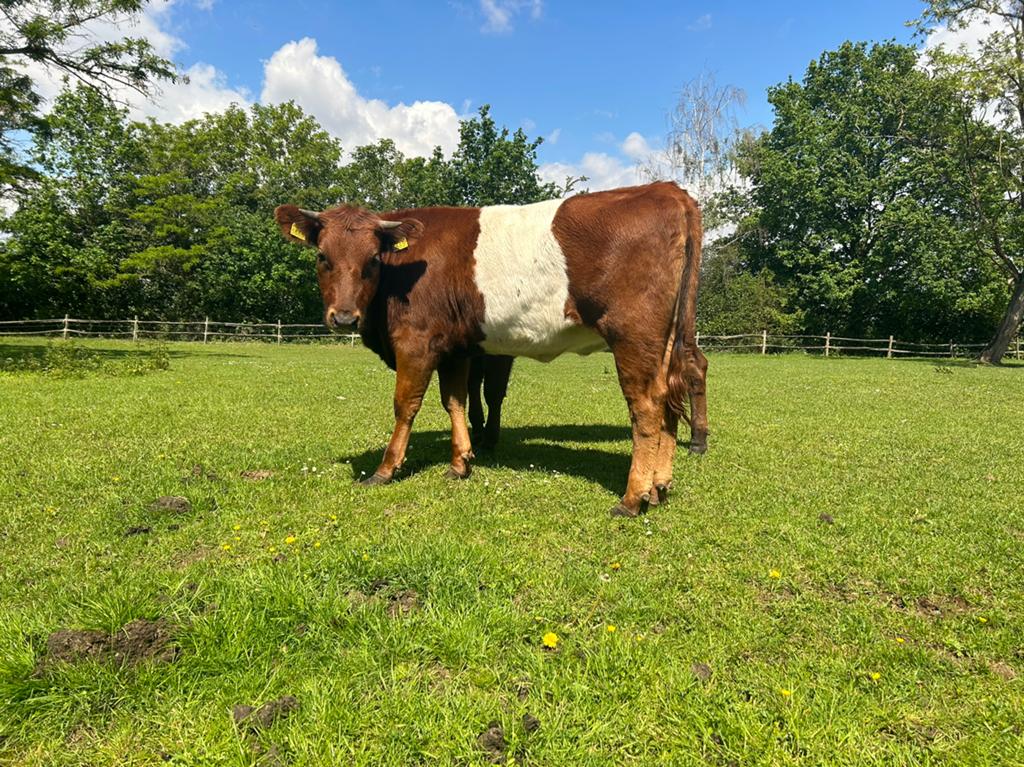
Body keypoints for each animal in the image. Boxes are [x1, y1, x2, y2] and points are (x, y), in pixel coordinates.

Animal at [275, 181, 707, 517]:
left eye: (372, 260)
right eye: (322, 256)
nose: (344, 317)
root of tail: (666, 189)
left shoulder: (416, 343)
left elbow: (406, 405)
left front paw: (385, 469)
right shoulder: (454, 349)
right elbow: (456, 401)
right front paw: (460, 462)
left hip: (633, 336)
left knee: (647, 406)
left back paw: (633, 498)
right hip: (667, 340)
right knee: (671, 397)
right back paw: (659, 486)